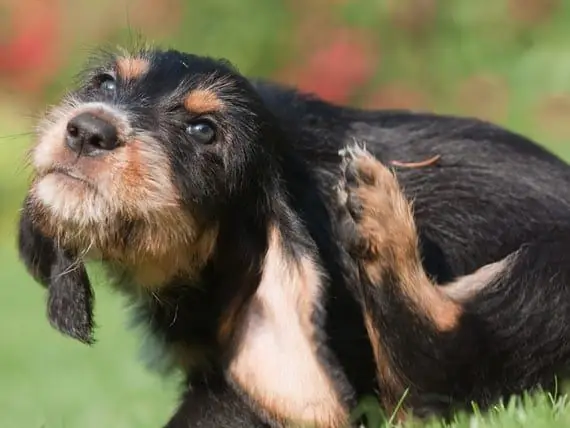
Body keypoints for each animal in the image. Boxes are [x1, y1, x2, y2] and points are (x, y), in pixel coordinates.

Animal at [15, 45, 570, 426]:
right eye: (105, 83)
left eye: (204, 131)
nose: (88, 130)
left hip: (547, 275)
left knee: (440, 366)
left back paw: (379, 216)